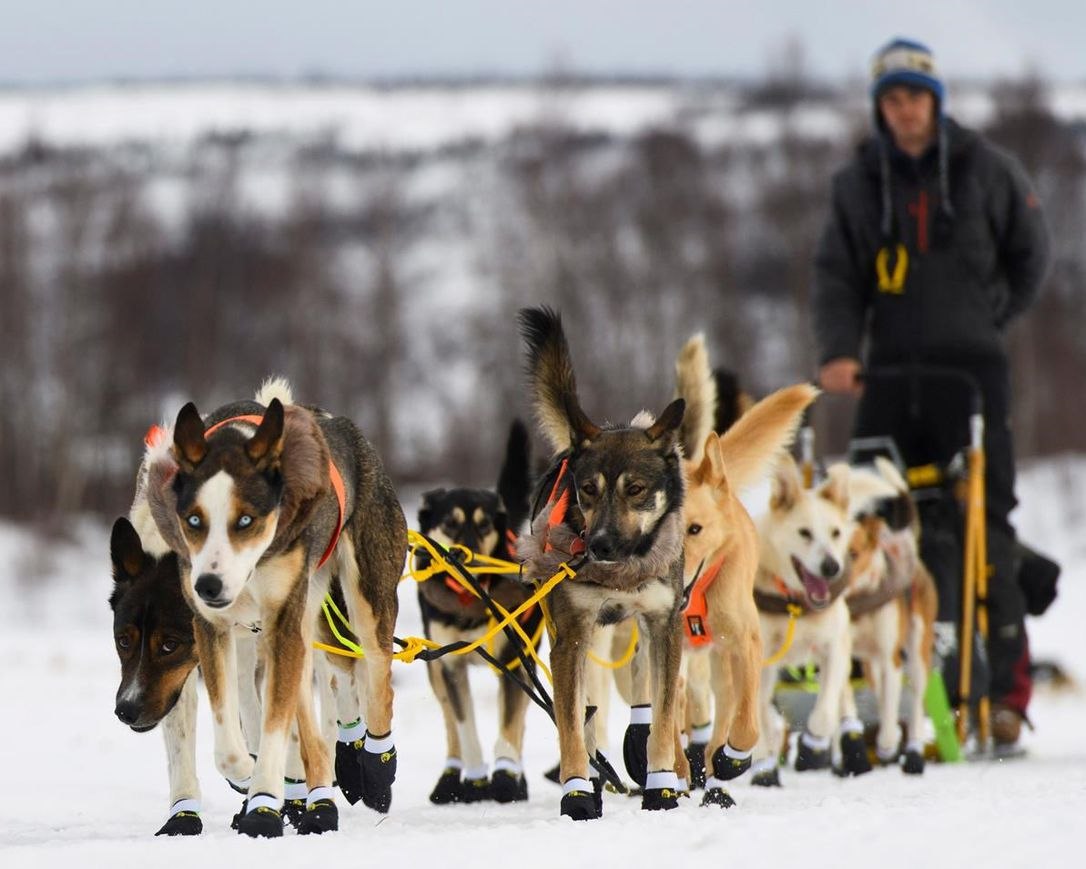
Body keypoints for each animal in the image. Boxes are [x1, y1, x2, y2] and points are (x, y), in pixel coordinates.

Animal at [140, 378, 403, 834]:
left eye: (246, 520)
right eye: (194, 520)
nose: (208, 585)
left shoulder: (283, 623)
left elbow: (278, 727)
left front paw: (263, 804)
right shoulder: (213, 629)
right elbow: (230, 742)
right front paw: (249, 777)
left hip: (367, 602)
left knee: (377, 683)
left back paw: (374, 768)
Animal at [516, 306, 686, 821]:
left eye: (636, 489)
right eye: (588, 490)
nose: (600, 545)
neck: (622, 575)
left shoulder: (665, 627)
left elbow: (664, 718)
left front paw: (662, 785)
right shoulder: (571, 635)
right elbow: (571, 723)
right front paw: (575, 791)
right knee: (586, 714)